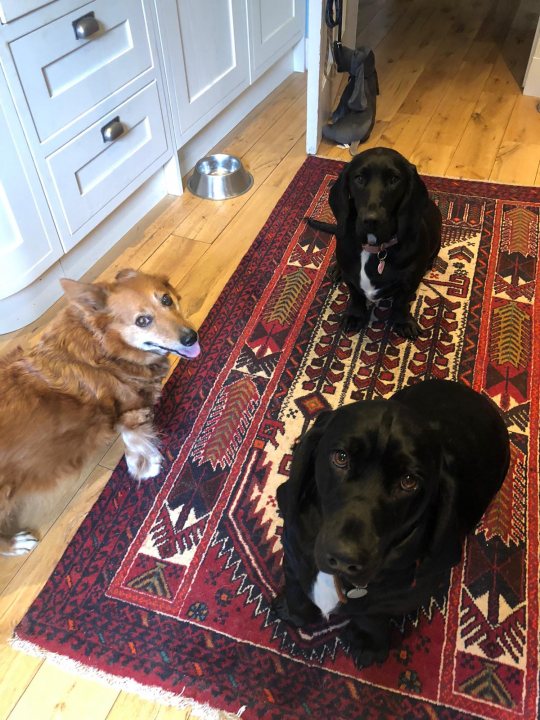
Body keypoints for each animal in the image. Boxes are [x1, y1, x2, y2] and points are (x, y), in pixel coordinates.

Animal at [0, 270, 200, 556]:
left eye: (166, 299)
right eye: (142, 321)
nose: (191, 338)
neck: (105, 348)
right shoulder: (127, 409)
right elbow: (133, 435)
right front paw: (145, 465)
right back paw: (17, 544)